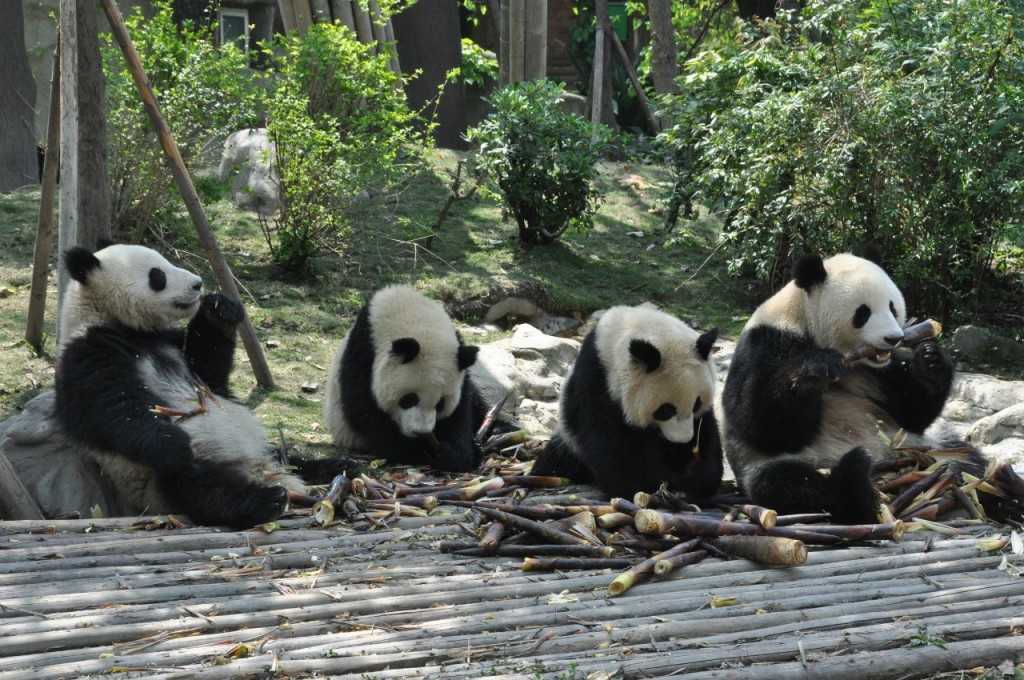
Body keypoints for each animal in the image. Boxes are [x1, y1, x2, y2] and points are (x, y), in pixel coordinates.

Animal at [55, 244, 307, 532]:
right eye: (158, 276)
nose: (198, 284)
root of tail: (263, 470)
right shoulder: (88, 354)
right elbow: (114, 410)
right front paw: (175, 442)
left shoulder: (173, 343)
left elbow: (210, 373)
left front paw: (219, 310)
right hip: (160, 477)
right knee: (203, 488)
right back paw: (267, 499)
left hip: (274, 452)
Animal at [325, 284, 489, 471]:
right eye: (409, 399)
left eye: (440, 404)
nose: (421, 432)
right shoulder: (364, 353)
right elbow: (364, 409)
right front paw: (417, 450)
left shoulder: (460, 360)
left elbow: (461, 411)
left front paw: (451, 454)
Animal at [532, 303, 724, 499]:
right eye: (666, 410)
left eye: (696, 404)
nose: (682, 440)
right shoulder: (597, 382)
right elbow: (610, 443)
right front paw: (654, 484)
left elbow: (707, 432)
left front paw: (693, 478)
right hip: (568, 439)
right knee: (558, 459)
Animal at [716, 251, 954, 522]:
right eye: (863, 312)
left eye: (893, 307)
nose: (894, 338)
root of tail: (885, 464)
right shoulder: (767, 342)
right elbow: (760, 425)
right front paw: (816, 371)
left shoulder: (879, 370)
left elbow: (911, 414)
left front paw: (930, 359)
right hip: (790, 463)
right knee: (787, 483)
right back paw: (854, 480)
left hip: (913, 445)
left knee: (962, 458)